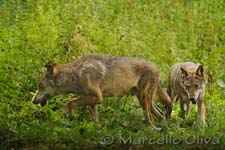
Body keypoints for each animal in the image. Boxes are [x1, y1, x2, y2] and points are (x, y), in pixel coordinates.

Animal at [32, 54, 171, 129]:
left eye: (40, 86)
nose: (33, 101)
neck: (77, 75)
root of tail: (156, 67)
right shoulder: (93, 101)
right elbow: (95, 119)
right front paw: (96, 129)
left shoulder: (98, 98)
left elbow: (70, 103)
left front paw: (70, 117)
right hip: (146, 100)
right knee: (162, 115)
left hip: (144, 101)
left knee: (151, 119)